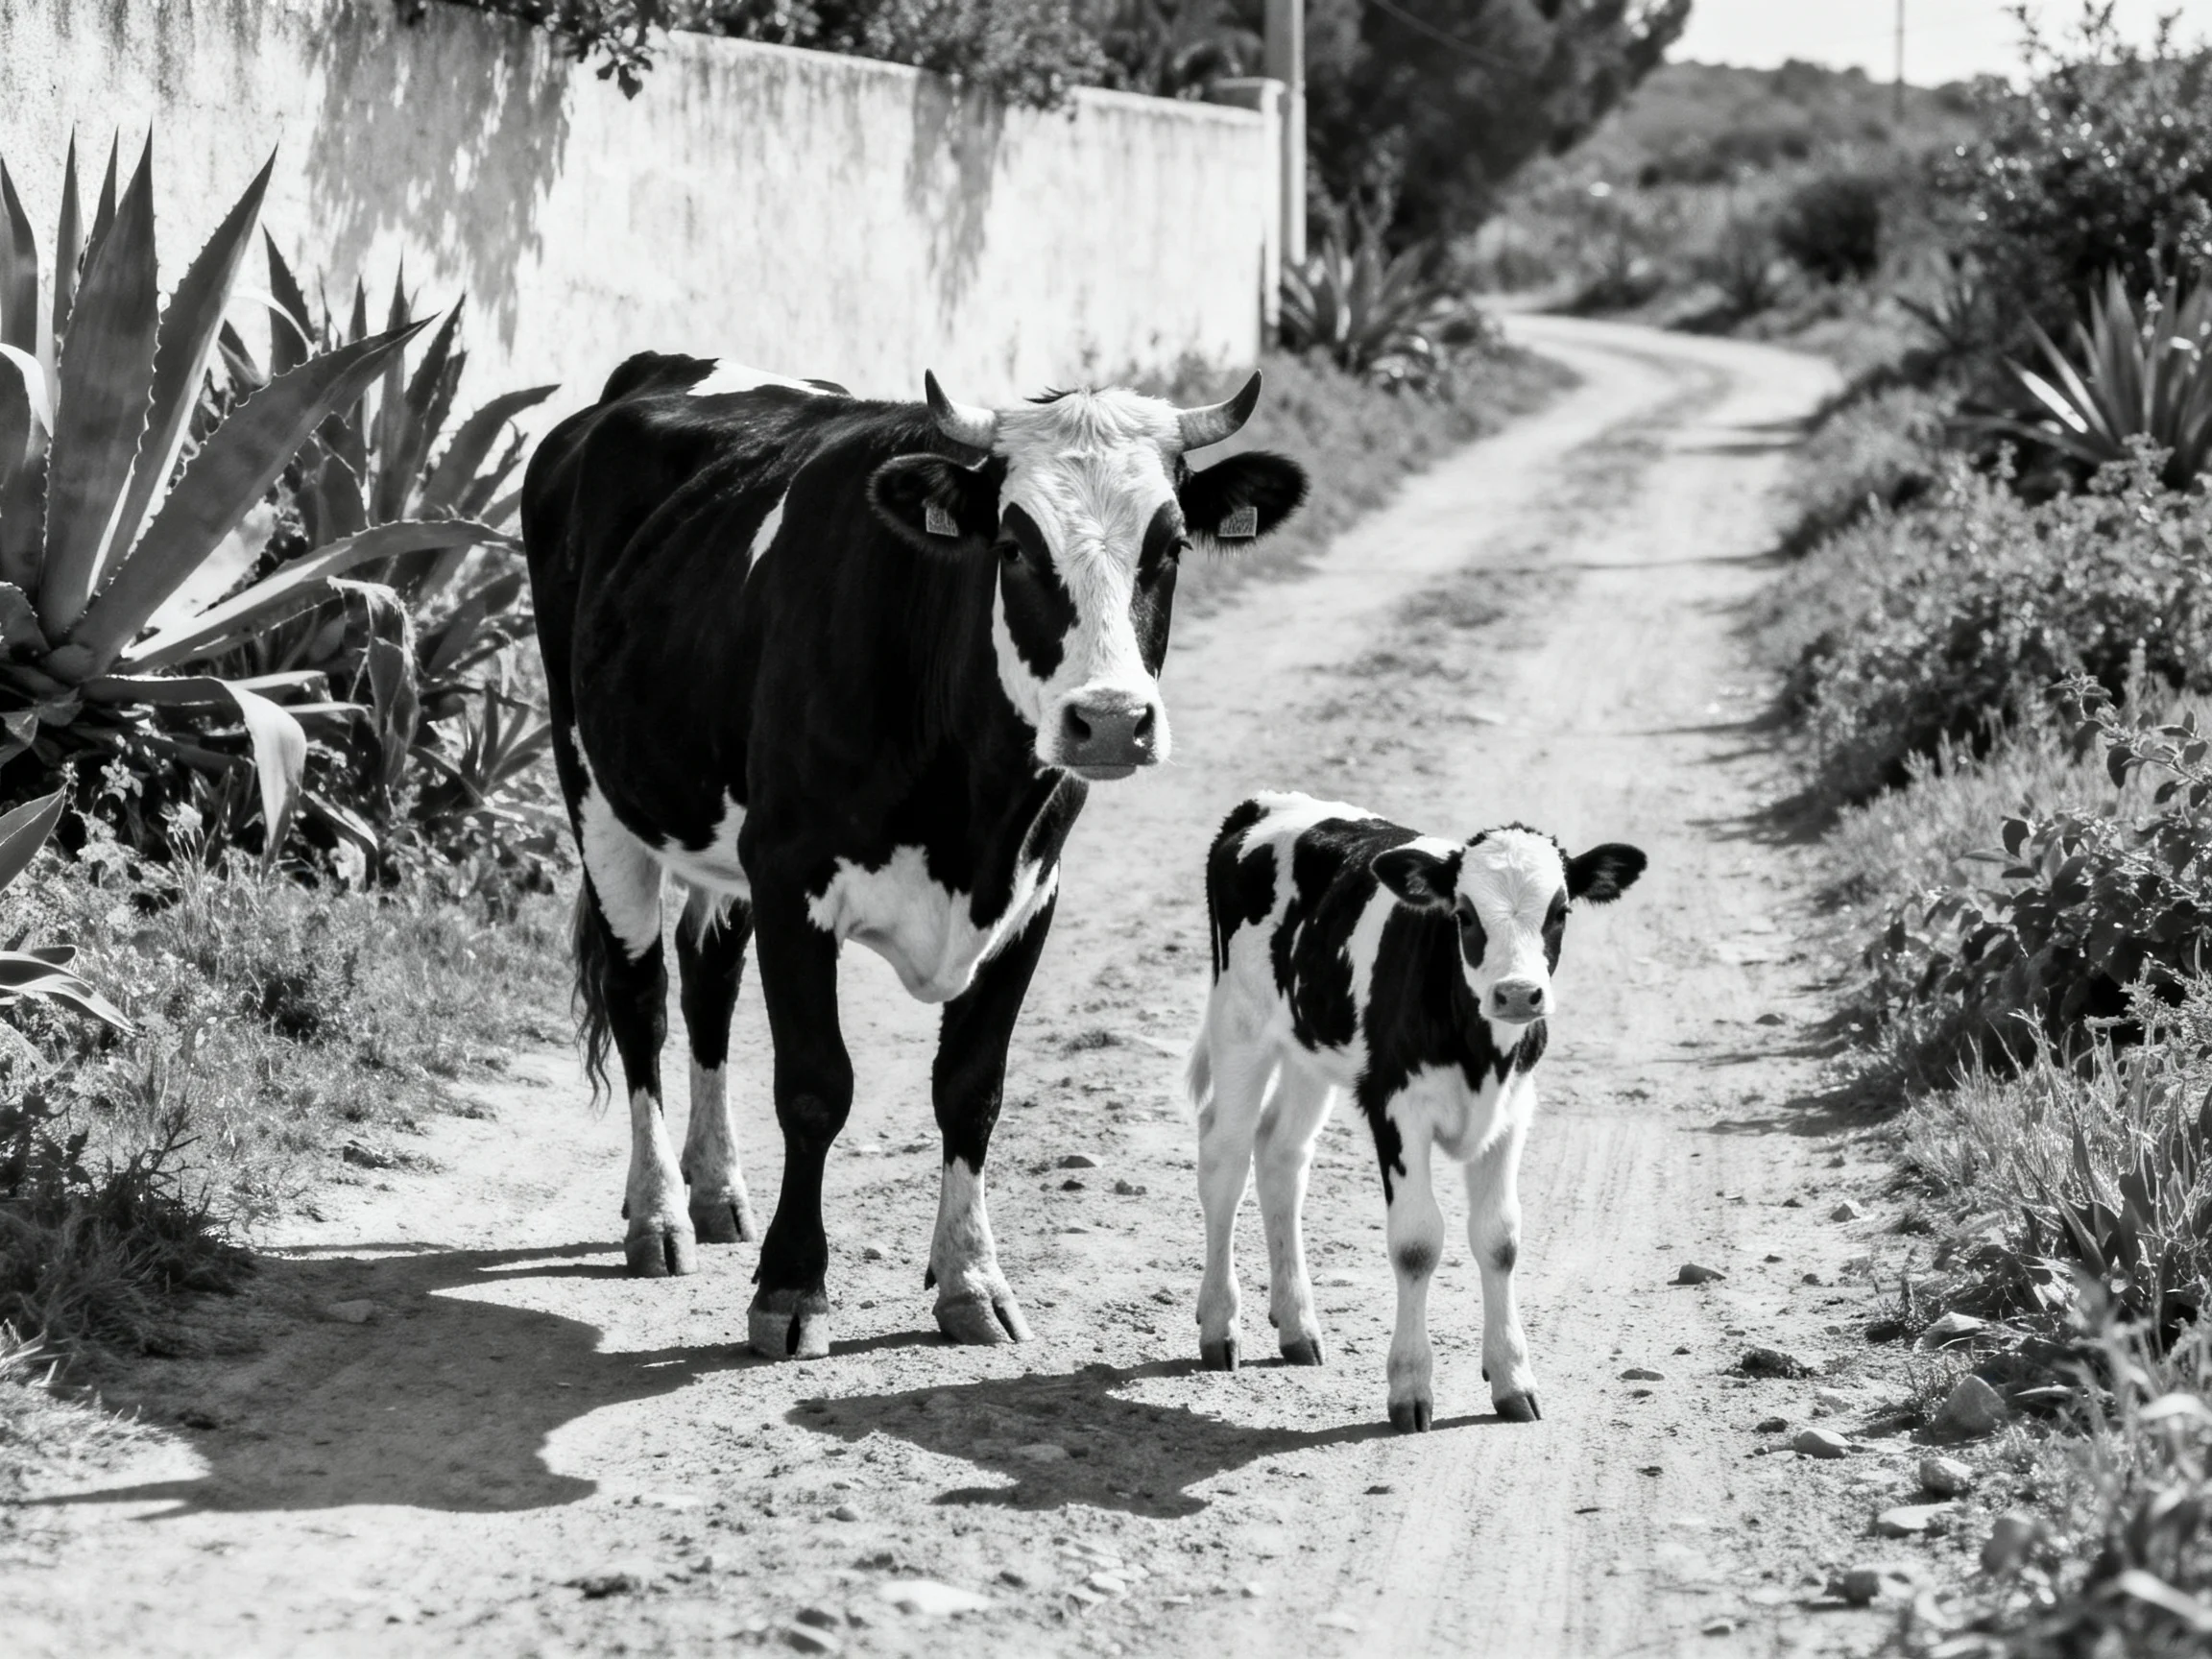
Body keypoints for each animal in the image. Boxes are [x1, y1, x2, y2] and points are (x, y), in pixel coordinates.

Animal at [521, 355, 1308, 1360]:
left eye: (1169, 548)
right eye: (1012, 546)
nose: (1109, 721)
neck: (972, 807)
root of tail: (652, 375)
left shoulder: (1030, 898)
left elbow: (971, 1090)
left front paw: (971, 1279)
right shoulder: (790, 878)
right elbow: (815, 1088)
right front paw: (792, 1289)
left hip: (716, 835)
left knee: (707, 983)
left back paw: (715, 1187)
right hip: (594, 786)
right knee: (641, 998)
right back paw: (657, 1210)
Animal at [1186, 792, 1645, 1429]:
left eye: (1561, 911)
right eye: (1466, 915)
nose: (1517, 994)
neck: (1481, 1053)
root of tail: (1267, 803)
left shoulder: (1513, 1109)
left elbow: (1501, 1239)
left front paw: (1512, 1378)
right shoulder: (1395, 1106)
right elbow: (1417, 1243)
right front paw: (1409, 1388)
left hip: (1309, 1049)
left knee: (1281, 1154)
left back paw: (1297, 1326)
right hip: (1239, 1026)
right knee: (1223, 1160)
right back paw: (1219, 1325)